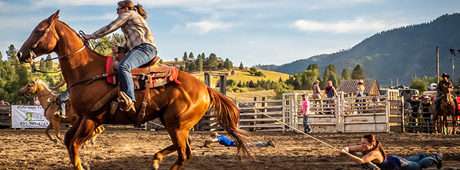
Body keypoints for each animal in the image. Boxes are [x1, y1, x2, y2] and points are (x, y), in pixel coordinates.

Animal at [18, 10, 250, 170]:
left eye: (39, 30)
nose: (21, 54)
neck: (86, 70)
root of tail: (205, 88)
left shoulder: (92, 118)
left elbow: (74, 145)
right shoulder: (82, 117)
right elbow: (68, 141)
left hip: (177, 125)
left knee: (184, 153)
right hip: (173, 123)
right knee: (186, 148)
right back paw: (156, 159)